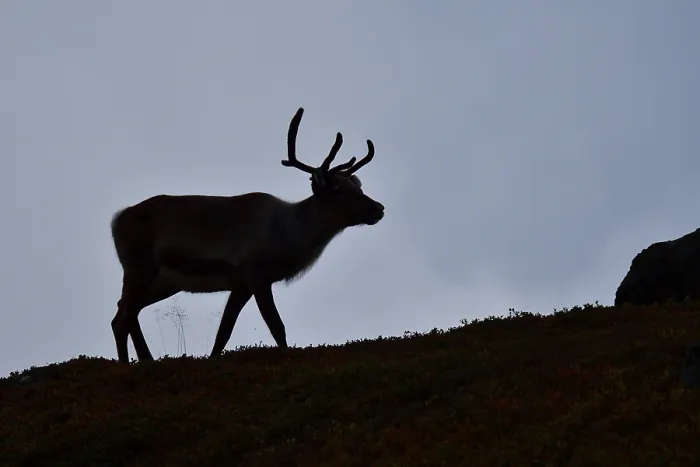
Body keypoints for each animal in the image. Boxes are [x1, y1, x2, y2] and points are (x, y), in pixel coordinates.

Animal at [109, 107, 385, 364]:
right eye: (337, 189)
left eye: (357, 186)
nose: (378, 208)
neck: (288, 236)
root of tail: (117, 219)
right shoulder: (256, 274)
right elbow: (277, 327)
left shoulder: (241, 284)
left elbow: (224, 333)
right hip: (139, 266)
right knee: (123, 316)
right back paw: (130, 364)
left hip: (165, 281)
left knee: (123, 310)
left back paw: (143, 360)